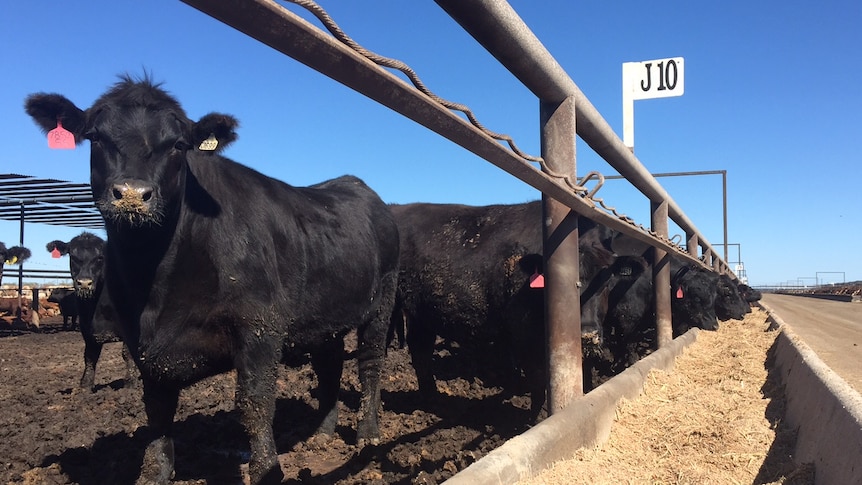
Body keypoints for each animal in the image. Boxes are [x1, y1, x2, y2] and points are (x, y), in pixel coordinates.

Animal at [47, 232, 138, 390]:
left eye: (100, 257)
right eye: (73, 257)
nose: (84, 283)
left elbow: (127, 354)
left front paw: (130, 383)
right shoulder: (86, 328)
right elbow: (89, 356)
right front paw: (85, 385)